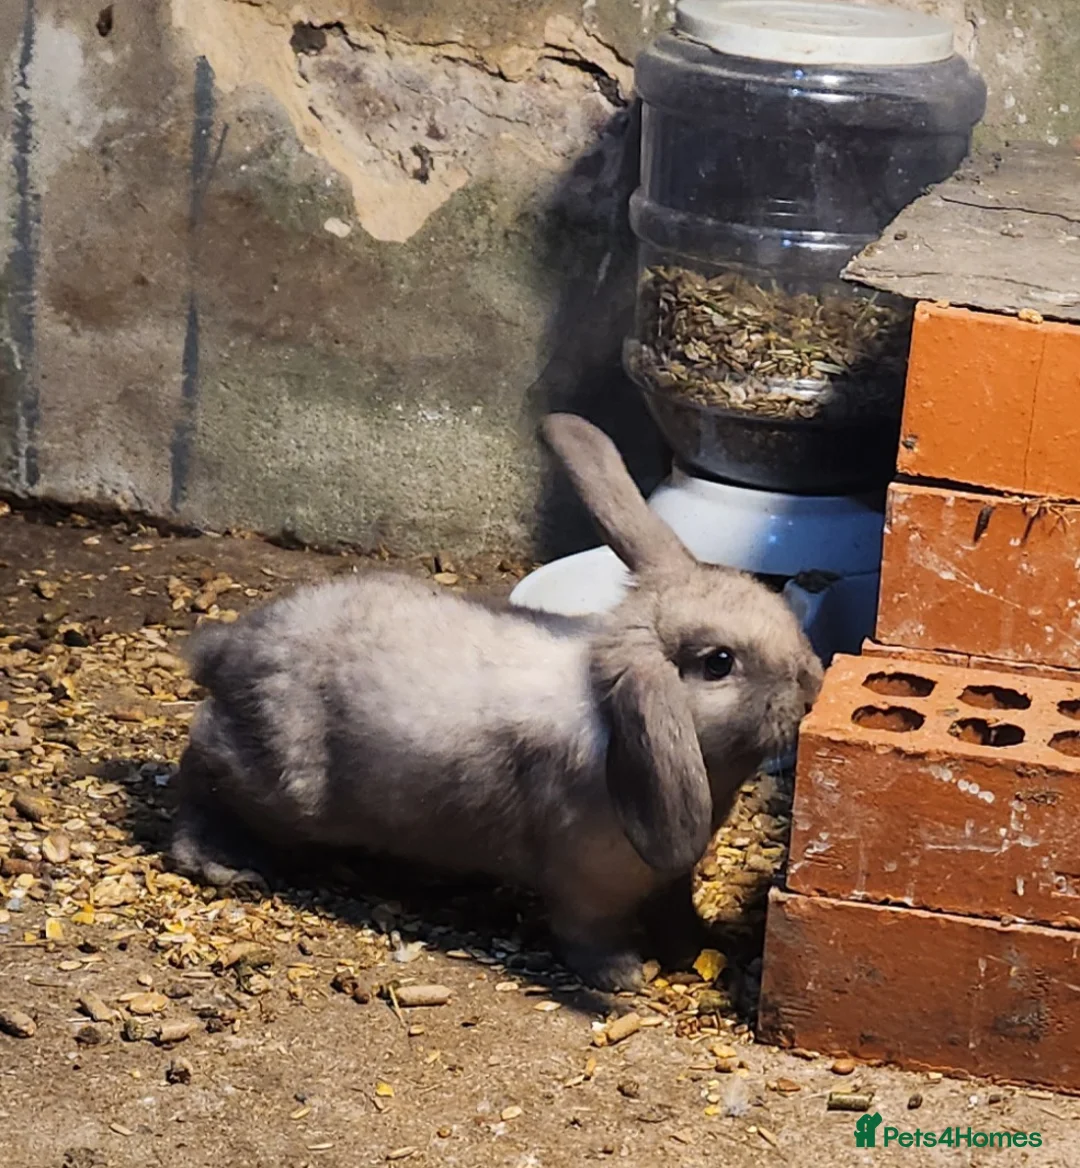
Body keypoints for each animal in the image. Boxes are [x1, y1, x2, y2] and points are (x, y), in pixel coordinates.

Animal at [169, 413, 823, 991]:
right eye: (719, 663)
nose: (813, 682)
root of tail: (227, 651)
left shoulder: (670, 882)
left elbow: (678, 914)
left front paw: (701, 948)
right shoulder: (585, 888)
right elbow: (588, 936)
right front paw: (623, 977)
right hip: (273, 785)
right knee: (196, 779)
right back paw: (219, 863)